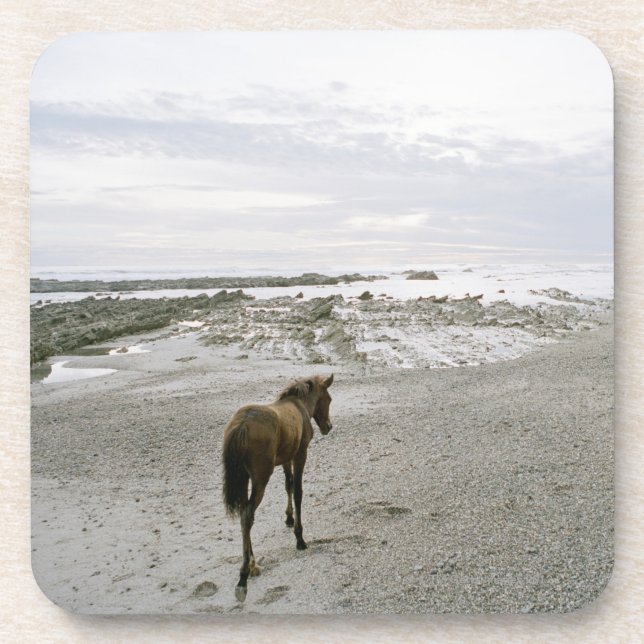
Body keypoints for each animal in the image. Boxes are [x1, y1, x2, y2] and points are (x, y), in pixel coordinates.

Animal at [222, 373, 334, 602]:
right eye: (329, 399)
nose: (328, 426)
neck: (300, 406)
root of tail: (242, 424)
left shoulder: (286, 458)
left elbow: (288, 486)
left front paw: (289, 518)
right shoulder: (300, 454)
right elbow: (298, 491)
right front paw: (300, 538)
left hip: (244, 478)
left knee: (244, 514)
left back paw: (253, 564)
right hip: (260, 477)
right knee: (248, 514)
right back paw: (244, 574)